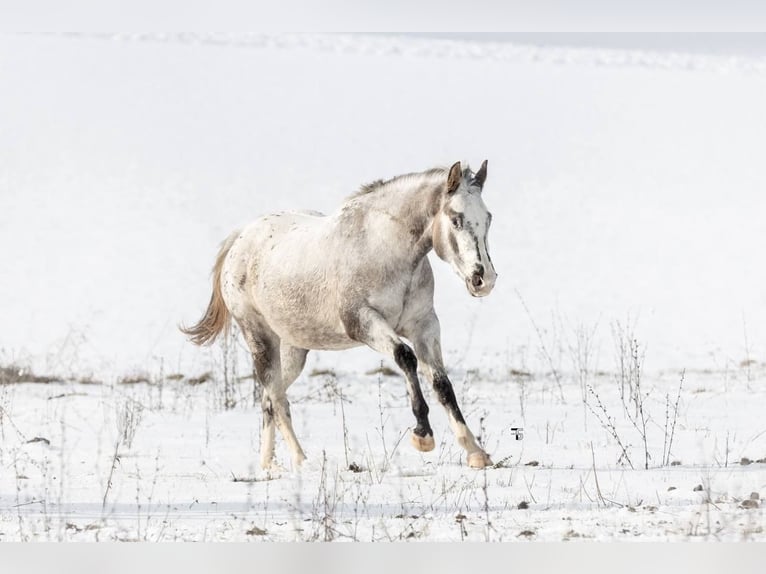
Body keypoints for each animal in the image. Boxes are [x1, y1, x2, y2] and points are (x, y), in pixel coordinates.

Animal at [183, 160, 500, 470]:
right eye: (456, 218)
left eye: (488, 218)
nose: (483, 279)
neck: (387, 250)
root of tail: (240, 239)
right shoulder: (361, 321)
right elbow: (405, 357)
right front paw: (423, 435)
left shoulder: (424, 326)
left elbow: (442, 383)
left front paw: (475, 452)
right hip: (260, 339)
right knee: (276, 397)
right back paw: (301, 461)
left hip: (294, 350)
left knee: (269, 399)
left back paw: (268, 467)